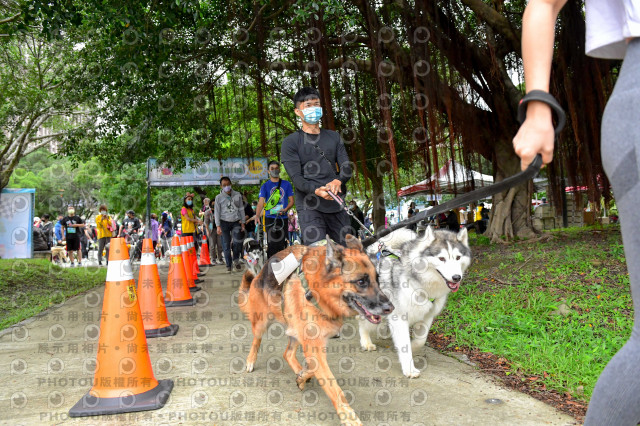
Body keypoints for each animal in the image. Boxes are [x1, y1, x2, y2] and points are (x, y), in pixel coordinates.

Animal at [238, 235, 392, 424]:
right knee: (256, 341)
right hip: (261, 323)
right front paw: (348, 415)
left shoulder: (314, 342)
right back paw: (251, 361)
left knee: (287, 353)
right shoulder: (313, 345)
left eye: (377, 279)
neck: (319, 290)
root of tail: (260, 273)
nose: (390, 308)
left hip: (294, 330)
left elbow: (314, 368)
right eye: (361, 282)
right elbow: (333, 386)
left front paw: (303, 375)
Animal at [358, 226, 472, 376]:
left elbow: (420, 340)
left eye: (458, 257)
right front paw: (409, 369)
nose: (456, 277)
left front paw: (412, 346)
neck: (424, 285)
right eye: (441, 258)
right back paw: (366, 341)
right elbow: (404, 343)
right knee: (363, 321)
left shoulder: (428, 315)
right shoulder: (400, 317)